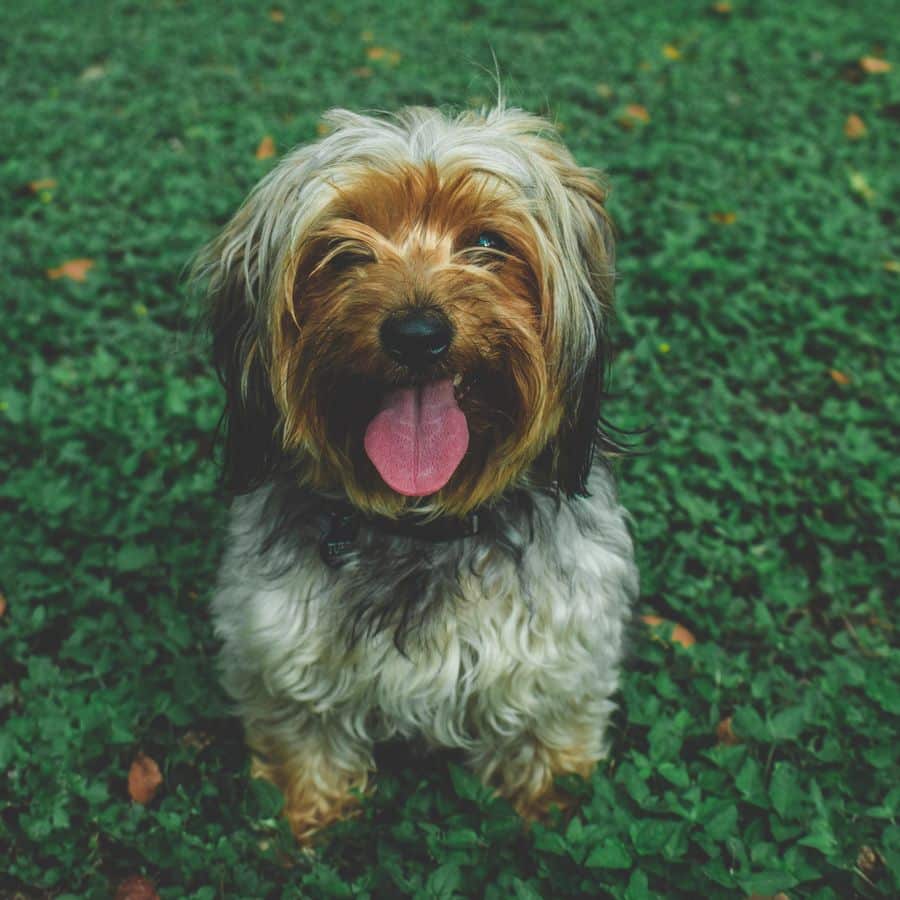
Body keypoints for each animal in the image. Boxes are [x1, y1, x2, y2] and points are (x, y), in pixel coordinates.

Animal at [200, 105, 640, 844]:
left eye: (488, 242)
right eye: (344, 250)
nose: (417, 334)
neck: (421, 525)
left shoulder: (559, 646)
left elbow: (547, 726)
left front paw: (550, 806)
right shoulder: (283, 647)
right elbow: (301, 736)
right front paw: (304, 818)